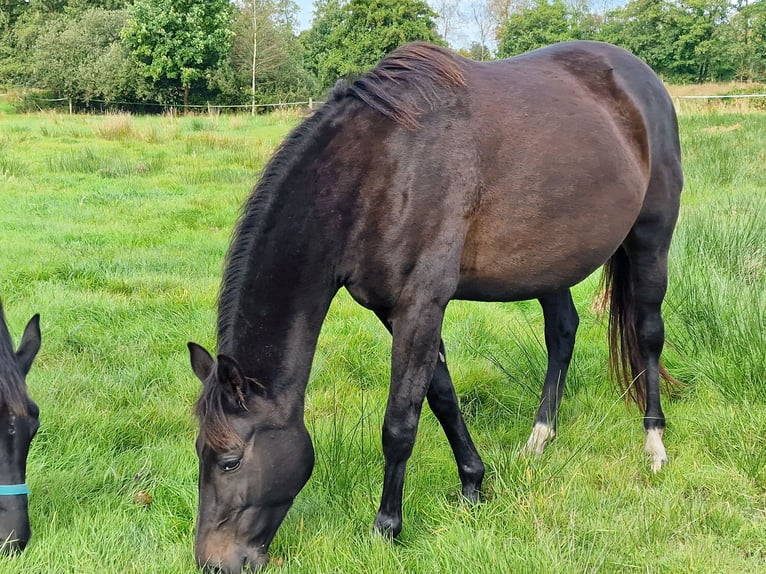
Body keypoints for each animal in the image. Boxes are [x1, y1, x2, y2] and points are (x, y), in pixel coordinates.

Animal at [188, 39, 684, 572]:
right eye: (199, 451)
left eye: (230, 460)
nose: (213, 562)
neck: (377, 170)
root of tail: (643, 79)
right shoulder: (397, 311)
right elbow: (442, 396)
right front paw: (472, 485)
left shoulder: (421, 305)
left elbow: (400, 423)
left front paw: (386, 528)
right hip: (551, 263)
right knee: (562, 333)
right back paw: (539, 437)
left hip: (651, 239)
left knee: (648, 334)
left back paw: (654, 443)